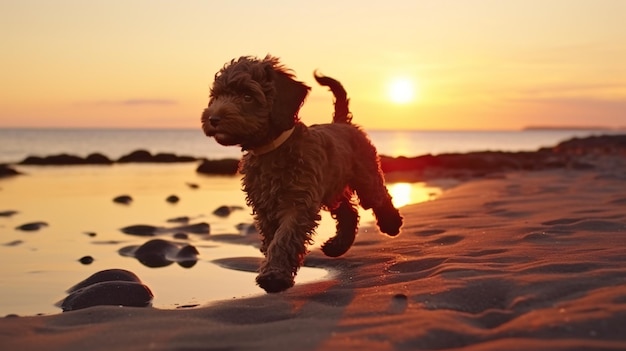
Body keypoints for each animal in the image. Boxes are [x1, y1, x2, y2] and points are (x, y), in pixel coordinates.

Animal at [202, 55, 402, 294]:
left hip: (365, 175)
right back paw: (337, 246)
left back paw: (391, 224)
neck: (273, 148)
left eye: (247, 96)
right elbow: (273, 238)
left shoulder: (297, 201)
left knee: (378, 197)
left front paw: (275, 276)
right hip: (331, 187)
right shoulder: (265, 207)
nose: (213, 118)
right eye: (216, 96)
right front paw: (274, 269)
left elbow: (284, 238)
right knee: (348, 211)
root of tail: (341, 122)